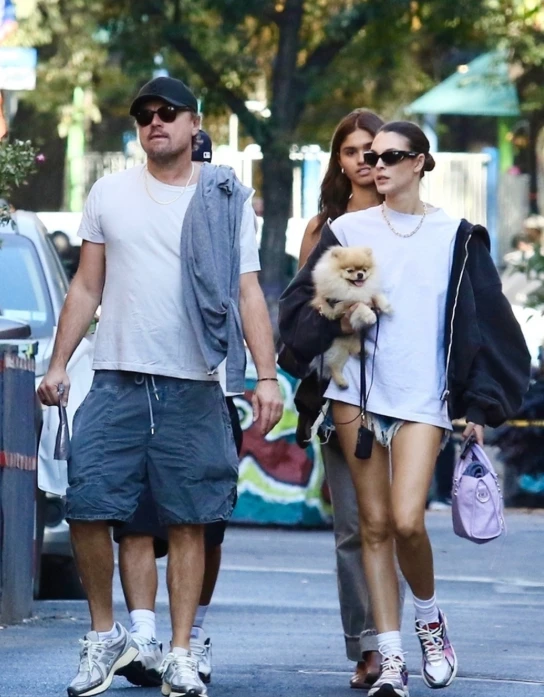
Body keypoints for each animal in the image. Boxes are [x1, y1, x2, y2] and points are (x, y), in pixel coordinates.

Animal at [310, 245, 392, 389]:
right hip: (338, 350)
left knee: (353, 351)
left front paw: (386, 305)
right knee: (333, 366)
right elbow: (360, 306)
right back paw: (342, 382)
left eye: (364, 270)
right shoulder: (340, 306)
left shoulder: (367, 293)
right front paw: (370, 315)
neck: (353, 289)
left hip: (354, 341)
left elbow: (375, 295)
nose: (360, 275)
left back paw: (362, 353)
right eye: (350, 270)